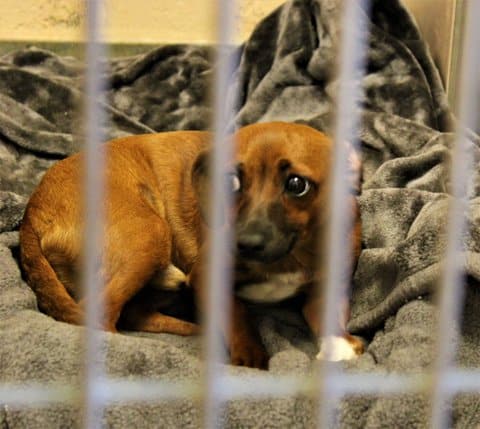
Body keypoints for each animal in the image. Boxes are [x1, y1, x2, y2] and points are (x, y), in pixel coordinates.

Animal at [20, 121, 362, 368]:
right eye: (230, 182)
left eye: (296, 185)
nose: (245, 243)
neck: (288, 258)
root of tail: (32, 210)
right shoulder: (208, 278)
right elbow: (237, 314)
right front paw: (249, 356)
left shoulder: (323, 292)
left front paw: (341, 345)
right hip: (150, 236)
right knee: (100, 317)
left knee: (132, 314)